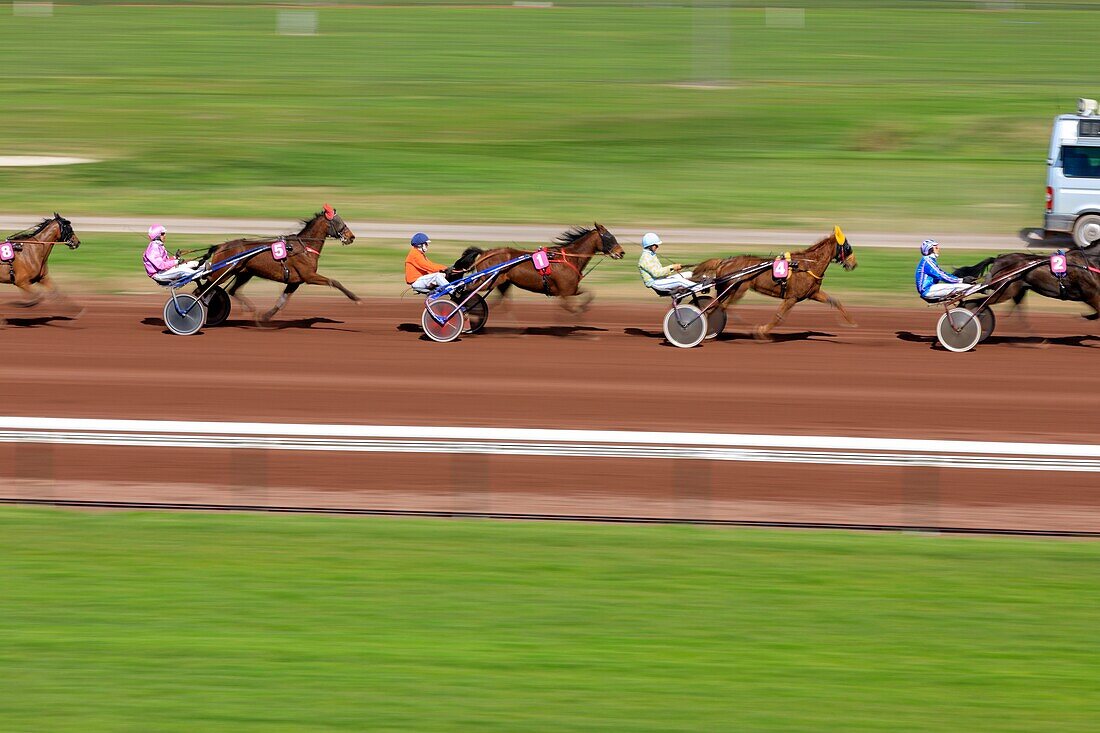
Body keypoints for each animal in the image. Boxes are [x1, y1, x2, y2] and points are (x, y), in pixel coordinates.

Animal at [206, 203, 356, 321]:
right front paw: (354, 297)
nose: (352, 236)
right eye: (338, 221)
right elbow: (334, 282)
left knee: (231, 290)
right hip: (221, 273)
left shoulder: (294, 282)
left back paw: (252, 310)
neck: (304, 247)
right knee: (206, 288)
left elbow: (282, 301)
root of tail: (221, 246)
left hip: (244, 273)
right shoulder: (309, 276)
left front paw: (265, 317)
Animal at [464, 224, 624, 312]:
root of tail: (484, 253)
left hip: (502, 283)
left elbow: (590, 294)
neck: (569, 258)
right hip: (487, 280)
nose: (621, 252)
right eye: (609, 237)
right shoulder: (566, 291)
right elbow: (570, 306)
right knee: (466, 290)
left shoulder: (571, 290)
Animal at [690, 225, 853, 338]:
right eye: (848, 247)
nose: (854, 264)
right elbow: (778, 317)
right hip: (737, 289)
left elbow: (835, 301)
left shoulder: (813, 293)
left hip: (729, 289)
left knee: (718, 306)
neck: (807, 265)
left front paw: (851, 322)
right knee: (719, 307)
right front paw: (761, 331)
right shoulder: (792, 298)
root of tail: (725, 261)